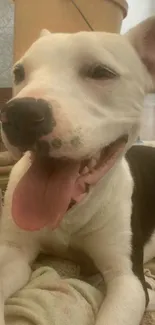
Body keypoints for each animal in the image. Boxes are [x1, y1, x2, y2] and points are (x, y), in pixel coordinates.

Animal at [0, 16, 155, 324]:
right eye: (19, 72)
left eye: (101, 72)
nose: (21, 113)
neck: (71, 213)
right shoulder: (13, 252)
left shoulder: (128, 279)